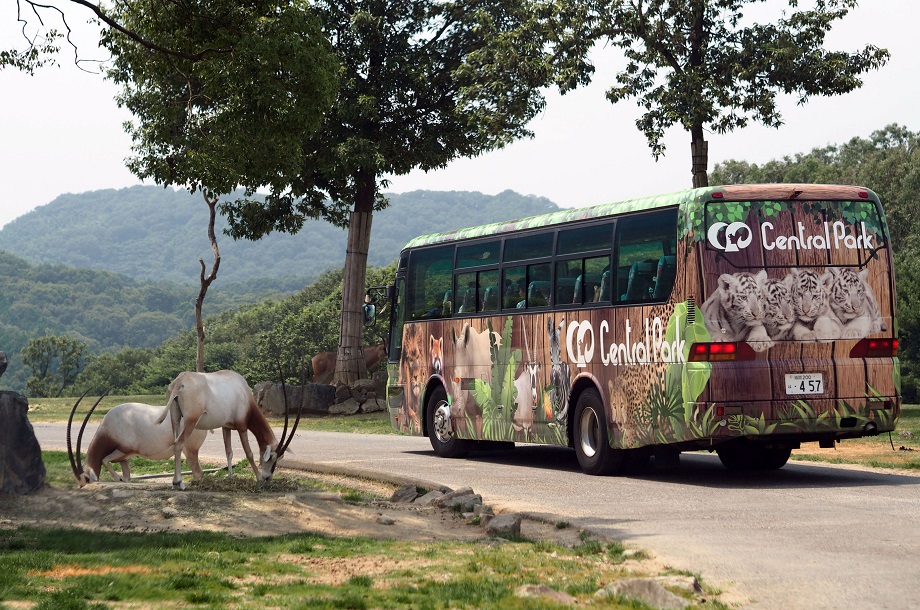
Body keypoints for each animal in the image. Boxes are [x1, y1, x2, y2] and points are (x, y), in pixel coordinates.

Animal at [65, 394, 208, 484]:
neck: (109, 427)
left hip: (189, 450)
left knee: (198, 472)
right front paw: (123, 480)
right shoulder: (124, 458)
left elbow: (104, 460)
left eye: (86, 479)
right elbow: (127, 477)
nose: (83, 487)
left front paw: (118, 479)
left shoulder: (124, 449)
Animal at [158, 366, 300, 490]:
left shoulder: (226, 427)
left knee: (175, 442)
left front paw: (230, 477)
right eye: (271, 457)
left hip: (175, 418)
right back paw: (179, 483)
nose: (268, 477)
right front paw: (258, 478)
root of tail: (180, 381)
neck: (244, 393)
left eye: (280, 458)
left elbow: (229, 452)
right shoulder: (242, 427)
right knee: (179, 444)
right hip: (190, 421)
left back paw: (174, 483)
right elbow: (249, 453)